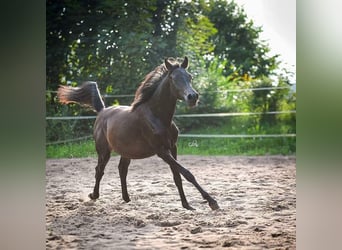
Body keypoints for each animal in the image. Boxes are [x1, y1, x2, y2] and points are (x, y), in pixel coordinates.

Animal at [57, 55, 219, 210]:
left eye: (190, 76)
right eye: (173, 78)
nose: (192, 97)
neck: (158, 117)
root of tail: (102, 110)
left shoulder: (173, 147)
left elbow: (177, 176)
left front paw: (187, 205)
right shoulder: (162, 151)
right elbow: (187, 173)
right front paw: (212, 202)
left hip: (126, 151)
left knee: (122, 169)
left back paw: (126, 198)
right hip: (103, 150)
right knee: (99, 170)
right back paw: (94, 195)